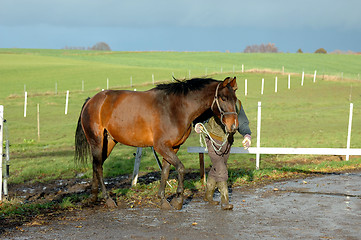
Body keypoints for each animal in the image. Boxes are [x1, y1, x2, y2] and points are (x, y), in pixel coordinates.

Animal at [75, 76, 239, 208]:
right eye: (223, 98)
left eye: (235, 99)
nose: (233, 126)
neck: (175, 108)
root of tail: (91, 101)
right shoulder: (161, 146)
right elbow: (180, 168)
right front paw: (178, 200)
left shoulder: (173, 147)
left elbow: (165, 171)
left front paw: (163, 199)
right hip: (97, 141)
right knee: (98, 167)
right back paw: (107, 199)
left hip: (108, 142)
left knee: (96, 165)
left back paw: (93, 197)